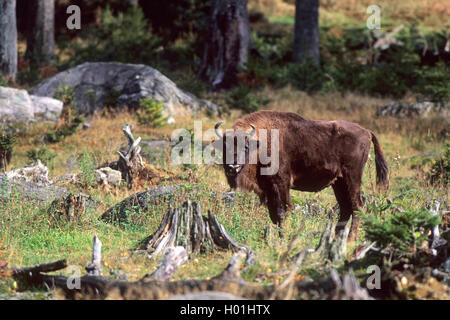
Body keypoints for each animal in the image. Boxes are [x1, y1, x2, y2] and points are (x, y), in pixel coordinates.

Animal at [214, 110, 386, 240]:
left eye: (246, 146)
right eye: (224, 146)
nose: (233, 166)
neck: (260, 143)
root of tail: (367, 132)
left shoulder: (281, 184)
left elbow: (283, 211)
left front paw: (283, 238)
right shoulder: (269, 189)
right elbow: (273, 214)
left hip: (353, 177)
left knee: (357, 206)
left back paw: (350, 240)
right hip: (339, 182)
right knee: (345, 208)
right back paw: (336, 238)